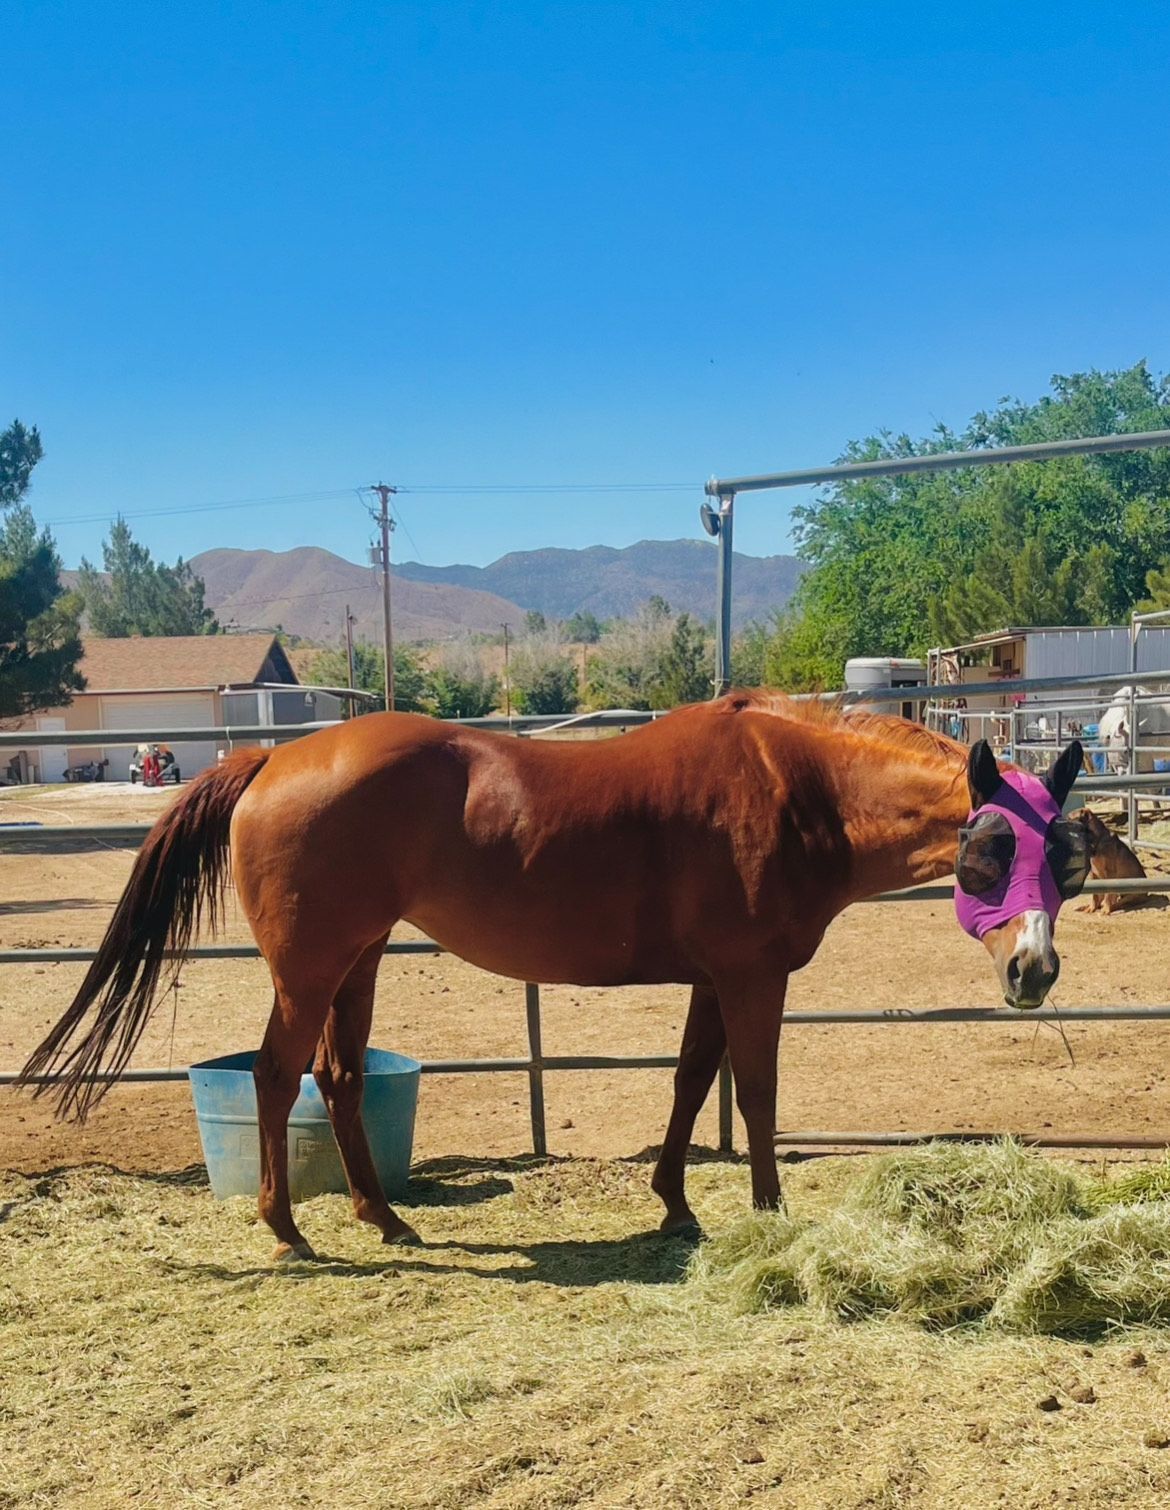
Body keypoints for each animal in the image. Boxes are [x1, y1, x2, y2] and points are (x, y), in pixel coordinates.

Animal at [18, 693, 1086, 1261]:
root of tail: (274, 758)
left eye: (1067, 857)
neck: (795, 789)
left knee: (339, 1078)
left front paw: (676, 1203)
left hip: (358, 961)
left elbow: (691, 1084)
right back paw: (286, 1229)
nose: (1033, 969)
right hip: (307, 968)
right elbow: (758, 1093)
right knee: (278, 1079)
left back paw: (383, 1216)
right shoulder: (751, 977)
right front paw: (767, 1213)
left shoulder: (713, 979)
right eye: (988, 850)